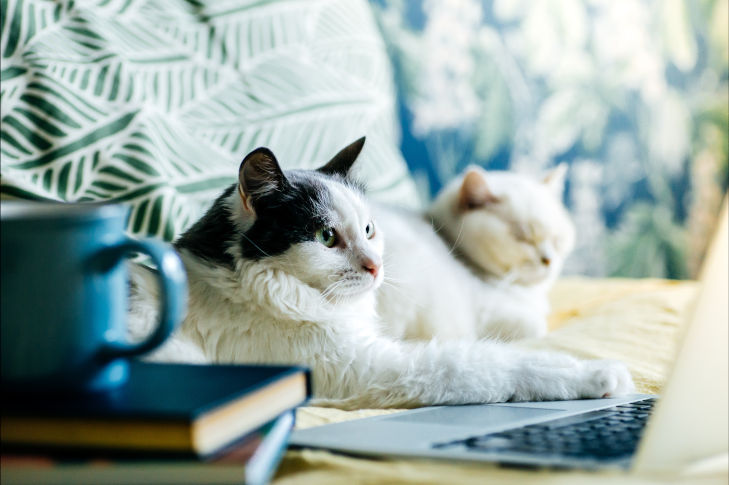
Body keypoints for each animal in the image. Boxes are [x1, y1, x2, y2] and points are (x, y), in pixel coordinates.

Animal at [131, 137, 632, 408]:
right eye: (326, 237)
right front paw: (599, 376)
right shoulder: (375, 365)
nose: (376, 267)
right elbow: (496, 363)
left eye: (369, 230)